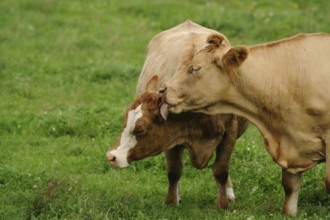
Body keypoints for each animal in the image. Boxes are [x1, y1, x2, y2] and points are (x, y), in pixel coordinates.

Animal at [105, 21, 248, 210]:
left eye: (140, 129)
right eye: (124, 122)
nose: (111, 156)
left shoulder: (230, 133)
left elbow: (221, 170)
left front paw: (223, 205)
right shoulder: (172, 139)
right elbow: (174, 171)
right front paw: (172, 202)